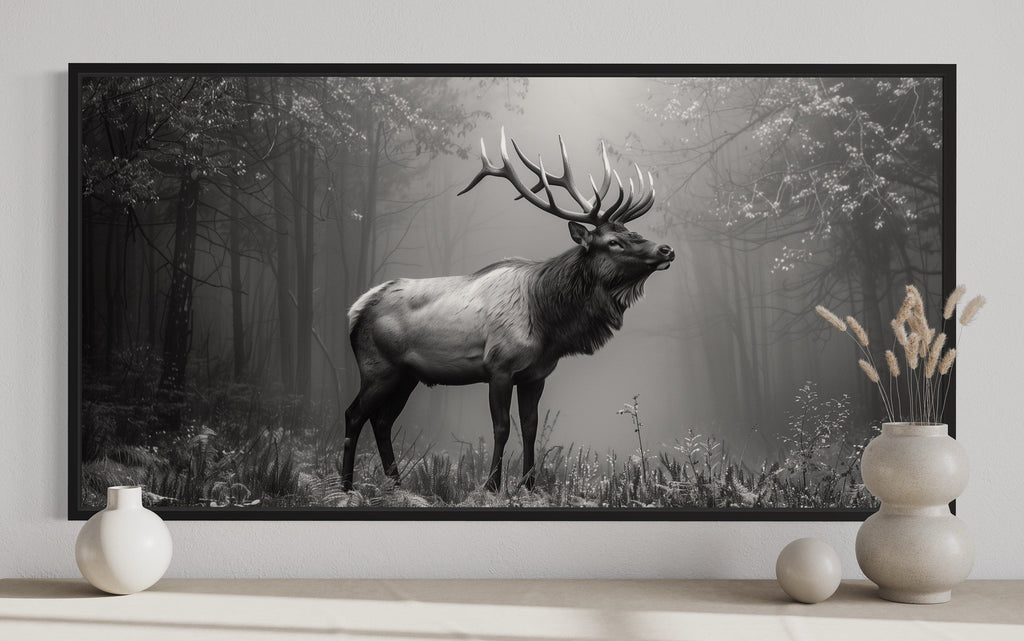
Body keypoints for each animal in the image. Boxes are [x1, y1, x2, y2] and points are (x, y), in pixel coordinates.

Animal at [342, 128, 674, 494]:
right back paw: (345, 486)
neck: (547, 324)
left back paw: (397, 485)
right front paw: (491, 485)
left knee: (382, 420)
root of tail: (356, 310)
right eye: (613, 242)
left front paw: (529, 485)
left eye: (632, 232)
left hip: (407, 374)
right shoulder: (498, 366)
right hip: (378, 367)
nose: (666, 249)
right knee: (354, 415)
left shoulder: (536, 374)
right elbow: (501, 427)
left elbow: (530, 426)